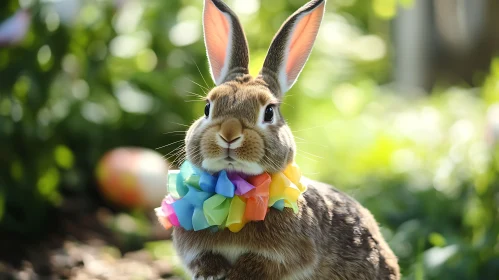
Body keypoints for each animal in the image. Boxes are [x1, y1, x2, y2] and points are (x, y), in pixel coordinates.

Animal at [172, 0, 402, 280]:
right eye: (208, 107)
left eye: (269, 112)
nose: (229, 134)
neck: (235, 189)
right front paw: (211, 273)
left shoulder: (285, 256)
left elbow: (259, 265)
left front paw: (236, 274)